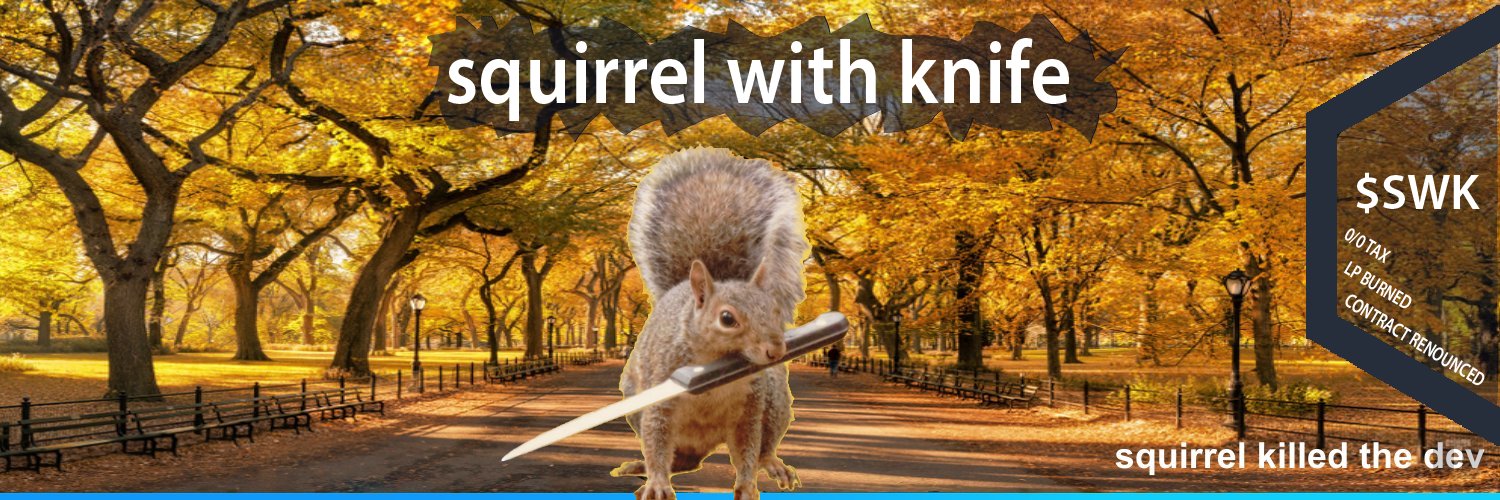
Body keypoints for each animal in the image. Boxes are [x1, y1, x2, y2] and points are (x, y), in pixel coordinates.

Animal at [613, 147, 809, 500]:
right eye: (727, 318)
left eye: (774, 310)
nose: (776, 351)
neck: (716, 367)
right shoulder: (661, 395)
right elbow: (657, 438)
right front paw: (657, 483)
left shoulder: (749, 407)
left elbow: (747, 449)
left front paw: (747, 486)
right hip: (635, 399)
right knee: (676, 457)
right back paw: (642, 467)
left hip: (774, 399)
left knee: (764, 446)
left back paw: (774, 465)